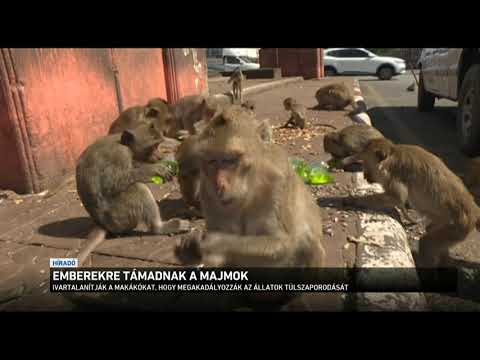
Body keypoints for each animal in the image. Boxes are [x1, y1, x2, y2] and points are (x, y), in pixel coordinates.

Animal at [74, 122, 190, 266]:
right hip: (120, 217)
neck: (124, 145)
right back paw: (159, 227)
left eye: (158, 144)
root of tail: (102, 224)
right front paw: (156, 168)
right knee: (137, 188)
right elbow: (112, 183)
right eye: (153, 147)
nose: (159, 156)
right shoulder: (119, 155)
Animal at [173, 107, 326, 270]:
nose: (219, 183)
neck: (248, 189)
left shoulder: (277, 184)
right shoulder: (206, 191)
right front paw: (191, 248)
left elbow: (284, 244)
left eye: (229, 160)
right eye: (212, 161)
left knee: (308, 243)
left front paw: (210, 242)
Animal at [344, 138, 480, 268]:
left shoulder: (395, 175)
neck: (392, 155)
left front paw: (355, 200)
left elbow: (397, 198)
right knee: (431, 230)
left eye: (365, 163)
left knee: (427, 242)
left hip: (457, 226)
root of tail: (474, 209)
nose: (364, 175)